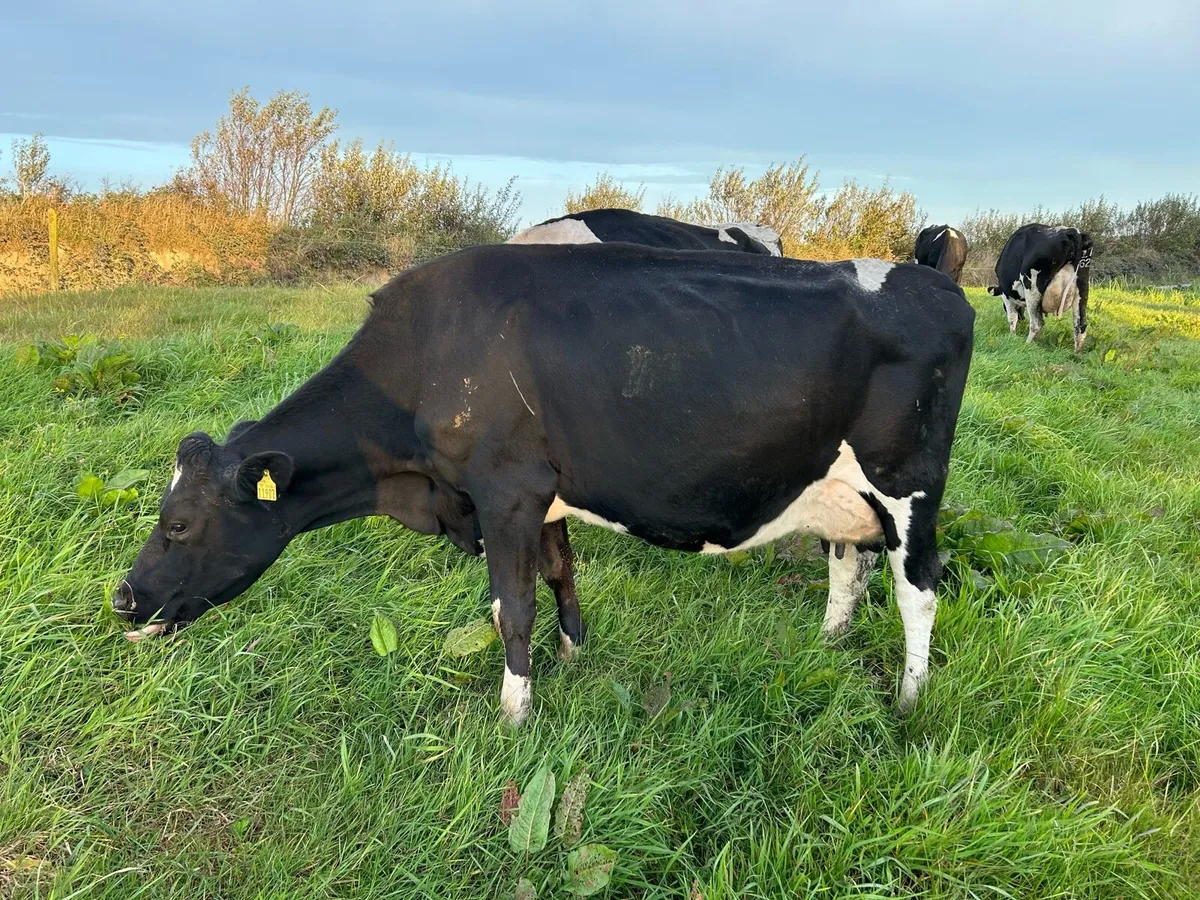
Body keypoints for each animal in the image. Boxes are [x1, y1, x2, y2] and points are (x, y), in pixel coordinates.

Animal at [112, 243, 974, 726]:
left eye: (181, 523)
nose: (122, 600)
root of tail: (934, 285)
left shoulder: (506, 492)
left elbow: (510, 608)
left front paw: (514, 715)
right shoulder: (542, 493)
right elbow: (561, 578)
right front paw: (573, 658)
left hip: (907, 488)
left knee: (919, 589)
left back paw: (909, 704)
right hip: (842, 492)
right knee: (848, 567)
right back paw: (827, 649)